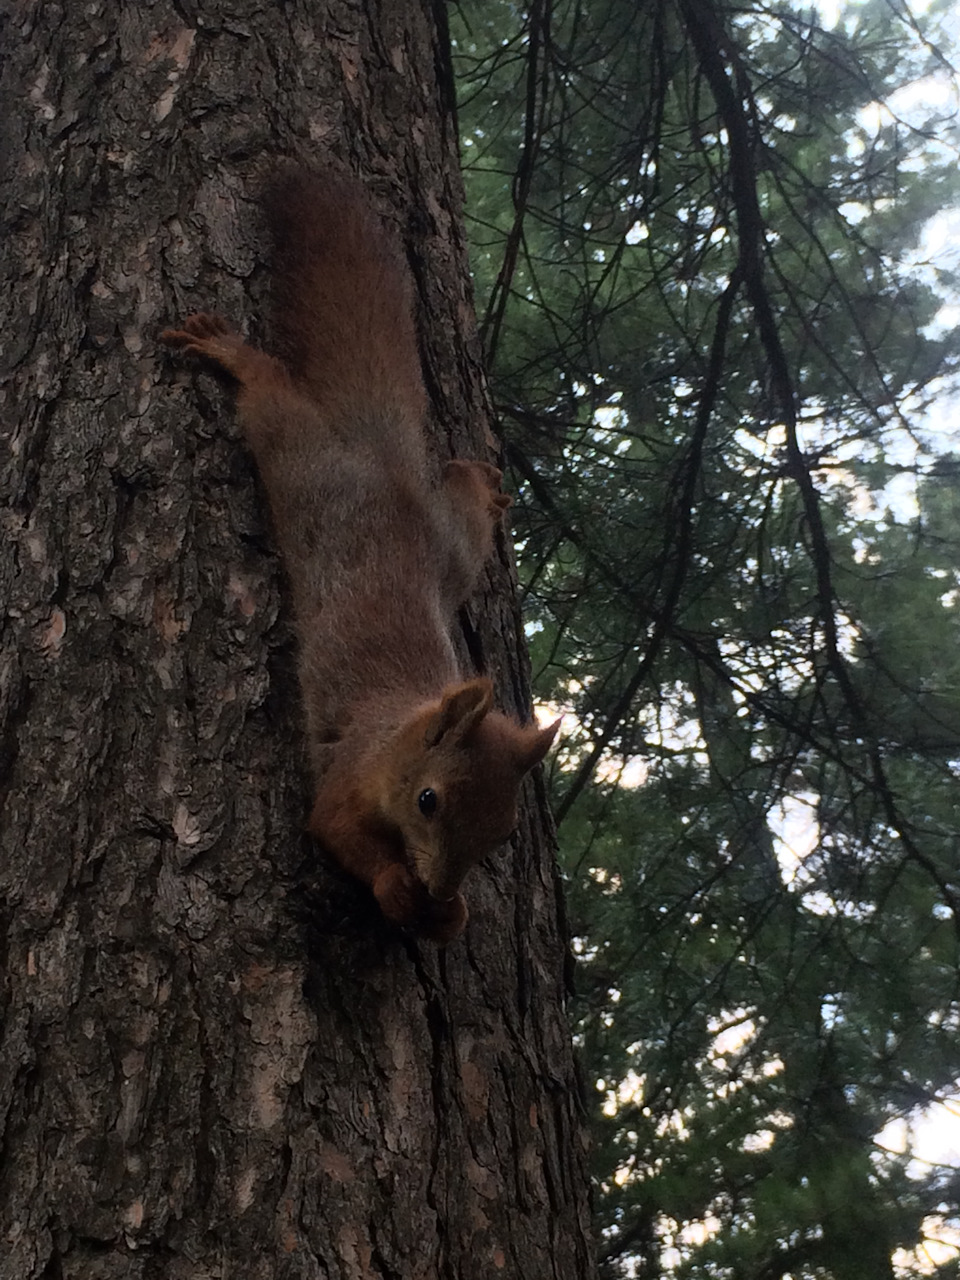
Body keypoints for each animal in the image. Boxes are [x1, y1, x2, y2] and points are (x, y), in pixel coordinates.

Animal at [162, 170, 560, 942]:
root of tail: (387, 471)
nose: (439, 887)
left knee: (462, 503)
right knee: (271, 397)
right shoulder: (348, 777)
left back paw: (484, 484)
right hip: (301, 465)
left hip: (452, 548)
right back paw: (233, 353)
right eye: (430, 801)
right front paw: (399, 890)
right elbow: (335, 832)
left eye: (503, 833)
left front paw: (450, 914)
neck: (397, 737)